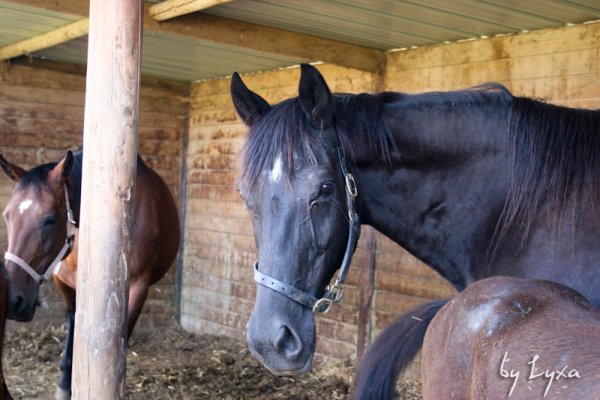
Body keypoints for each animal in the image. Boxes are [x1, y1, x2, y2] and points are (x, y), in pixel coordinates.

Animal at [0, 149, 179, 396]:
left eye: (50, 220)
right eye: (7, 216)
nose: (13, 300)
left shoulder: (138, 287)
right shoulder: (64, 281)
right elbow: (74, 321)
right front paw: (65, 383)